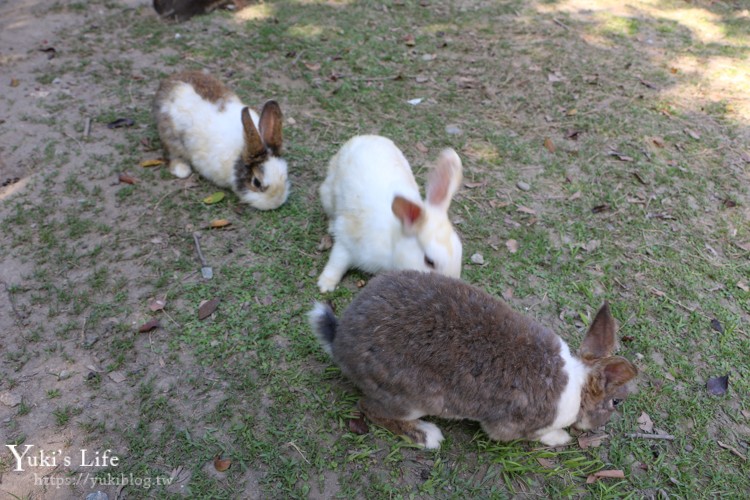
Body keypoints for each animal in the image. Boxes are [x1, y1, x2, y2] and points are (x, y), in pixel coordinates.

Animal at [153, 69, 290, 210]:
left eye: (285, 174)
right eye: (256, 182)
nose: (276, 203)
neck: (241, 152)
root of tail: (168, 83)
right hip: (170, 136)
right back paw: (182, 169)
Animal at [312, 272, 640, 448]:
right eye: (616, 402)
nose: (600, 426)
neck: (578, 385)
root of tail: (341, 341)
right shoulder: (514, 426)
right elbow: (532, 435)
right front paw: (560, 439)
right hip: (409, 397)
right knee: (370, 408)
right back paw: (427, 436)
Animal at [318, 135, 464, 294]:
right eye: (429, 262)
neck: (392, 241)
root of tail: (365, 137)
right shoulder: (346, 242)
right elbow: (336, 262)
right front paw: (325, 285)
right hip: (328, 194)